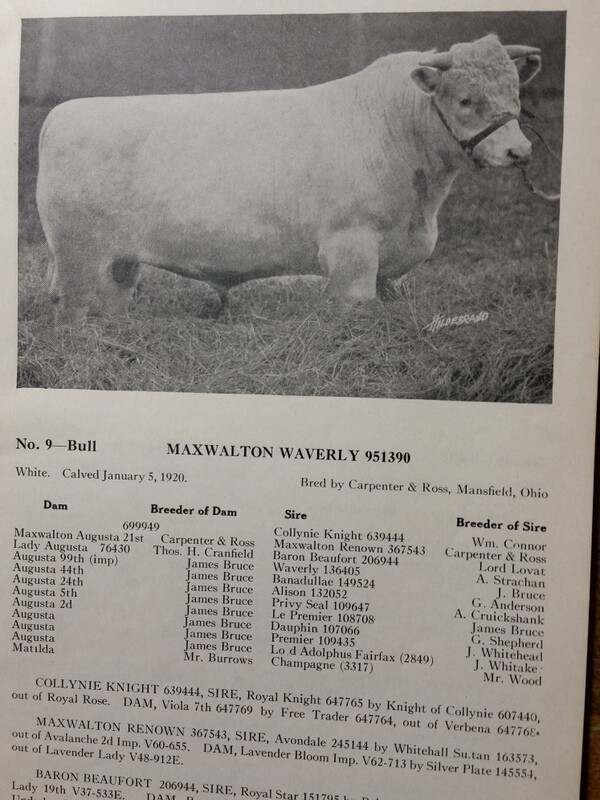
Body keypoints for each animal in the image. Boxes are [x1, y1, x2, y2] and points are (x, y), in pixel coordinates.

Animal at [36, 34, 541, 323]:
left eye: (515, 92)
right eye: (466, 100)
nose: (519, 151)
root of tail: (62, 114)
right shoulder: (351, 246)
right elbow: (357, 310)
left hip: (119, 262)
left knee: (111, 304)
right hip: (78, 255)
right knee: (71, 307)